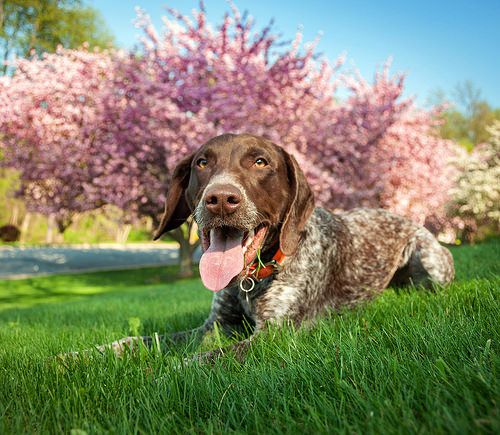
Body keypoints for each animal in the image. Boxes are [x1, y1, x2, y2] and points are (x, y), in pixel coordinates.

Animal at [68, 134, 456, 364]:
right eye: (202, 162)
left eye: (260, 162)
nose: (221, 199)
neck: (250, 279)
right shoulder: (214, 326)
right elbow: (140, 340)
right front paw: (78, 356)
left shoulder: (274, 333)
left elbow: (197, 360)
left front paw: (156, 374)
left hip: (429, 261)